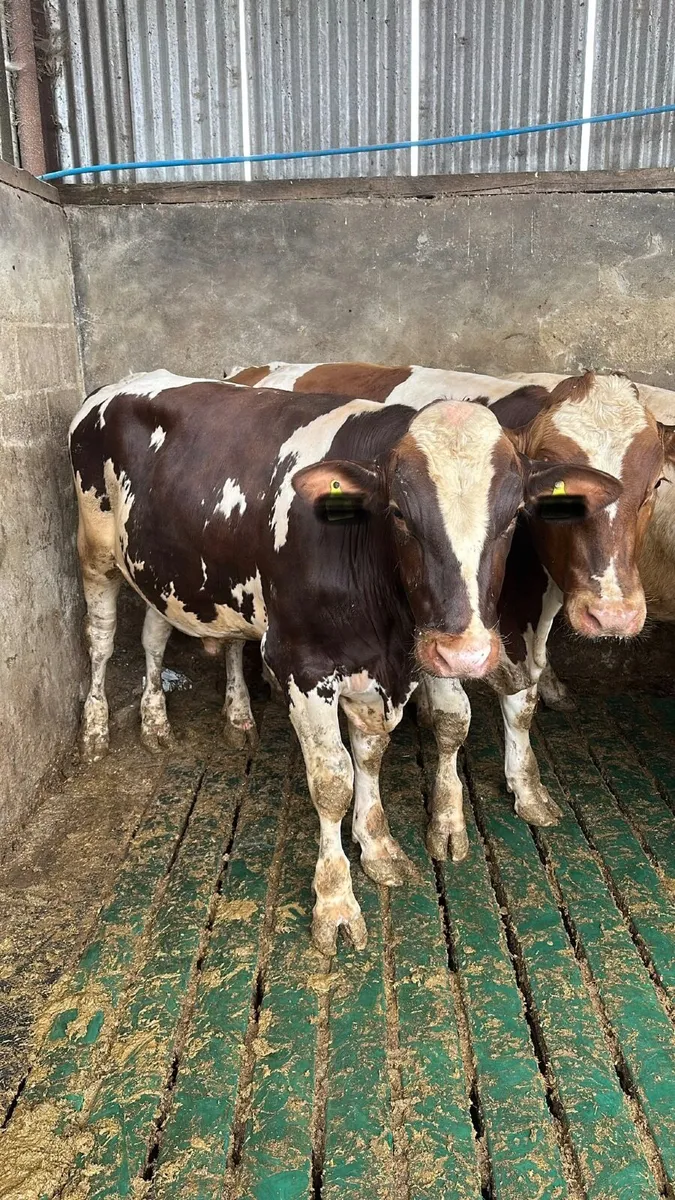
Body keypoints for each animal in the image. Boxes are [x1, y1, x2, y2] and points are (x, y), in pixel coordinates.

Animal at [69, 369, 613, 953]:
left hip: (169, 572)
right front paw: (335, 904)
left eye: (512, 518)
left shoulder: (385, 668)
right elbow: (333, 782)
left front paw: (377, 847)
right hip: (95, 551)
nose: (463, 651)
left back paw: (172, 721)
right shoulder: (302, 667)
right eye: (398, 513)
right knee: (101, 639)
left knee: (159, 637)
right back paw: (96, 730)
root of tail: (125, 382)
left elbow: (371, 758)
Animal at [226, 361, 675, 847]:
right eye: (560, 505)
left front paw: (527, 789)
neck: (523, 603)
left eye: (656, 484)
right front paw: (447, 818)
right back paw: (239, 715)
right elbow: (453, 719)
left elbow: (522, 707)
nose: (612, 614)